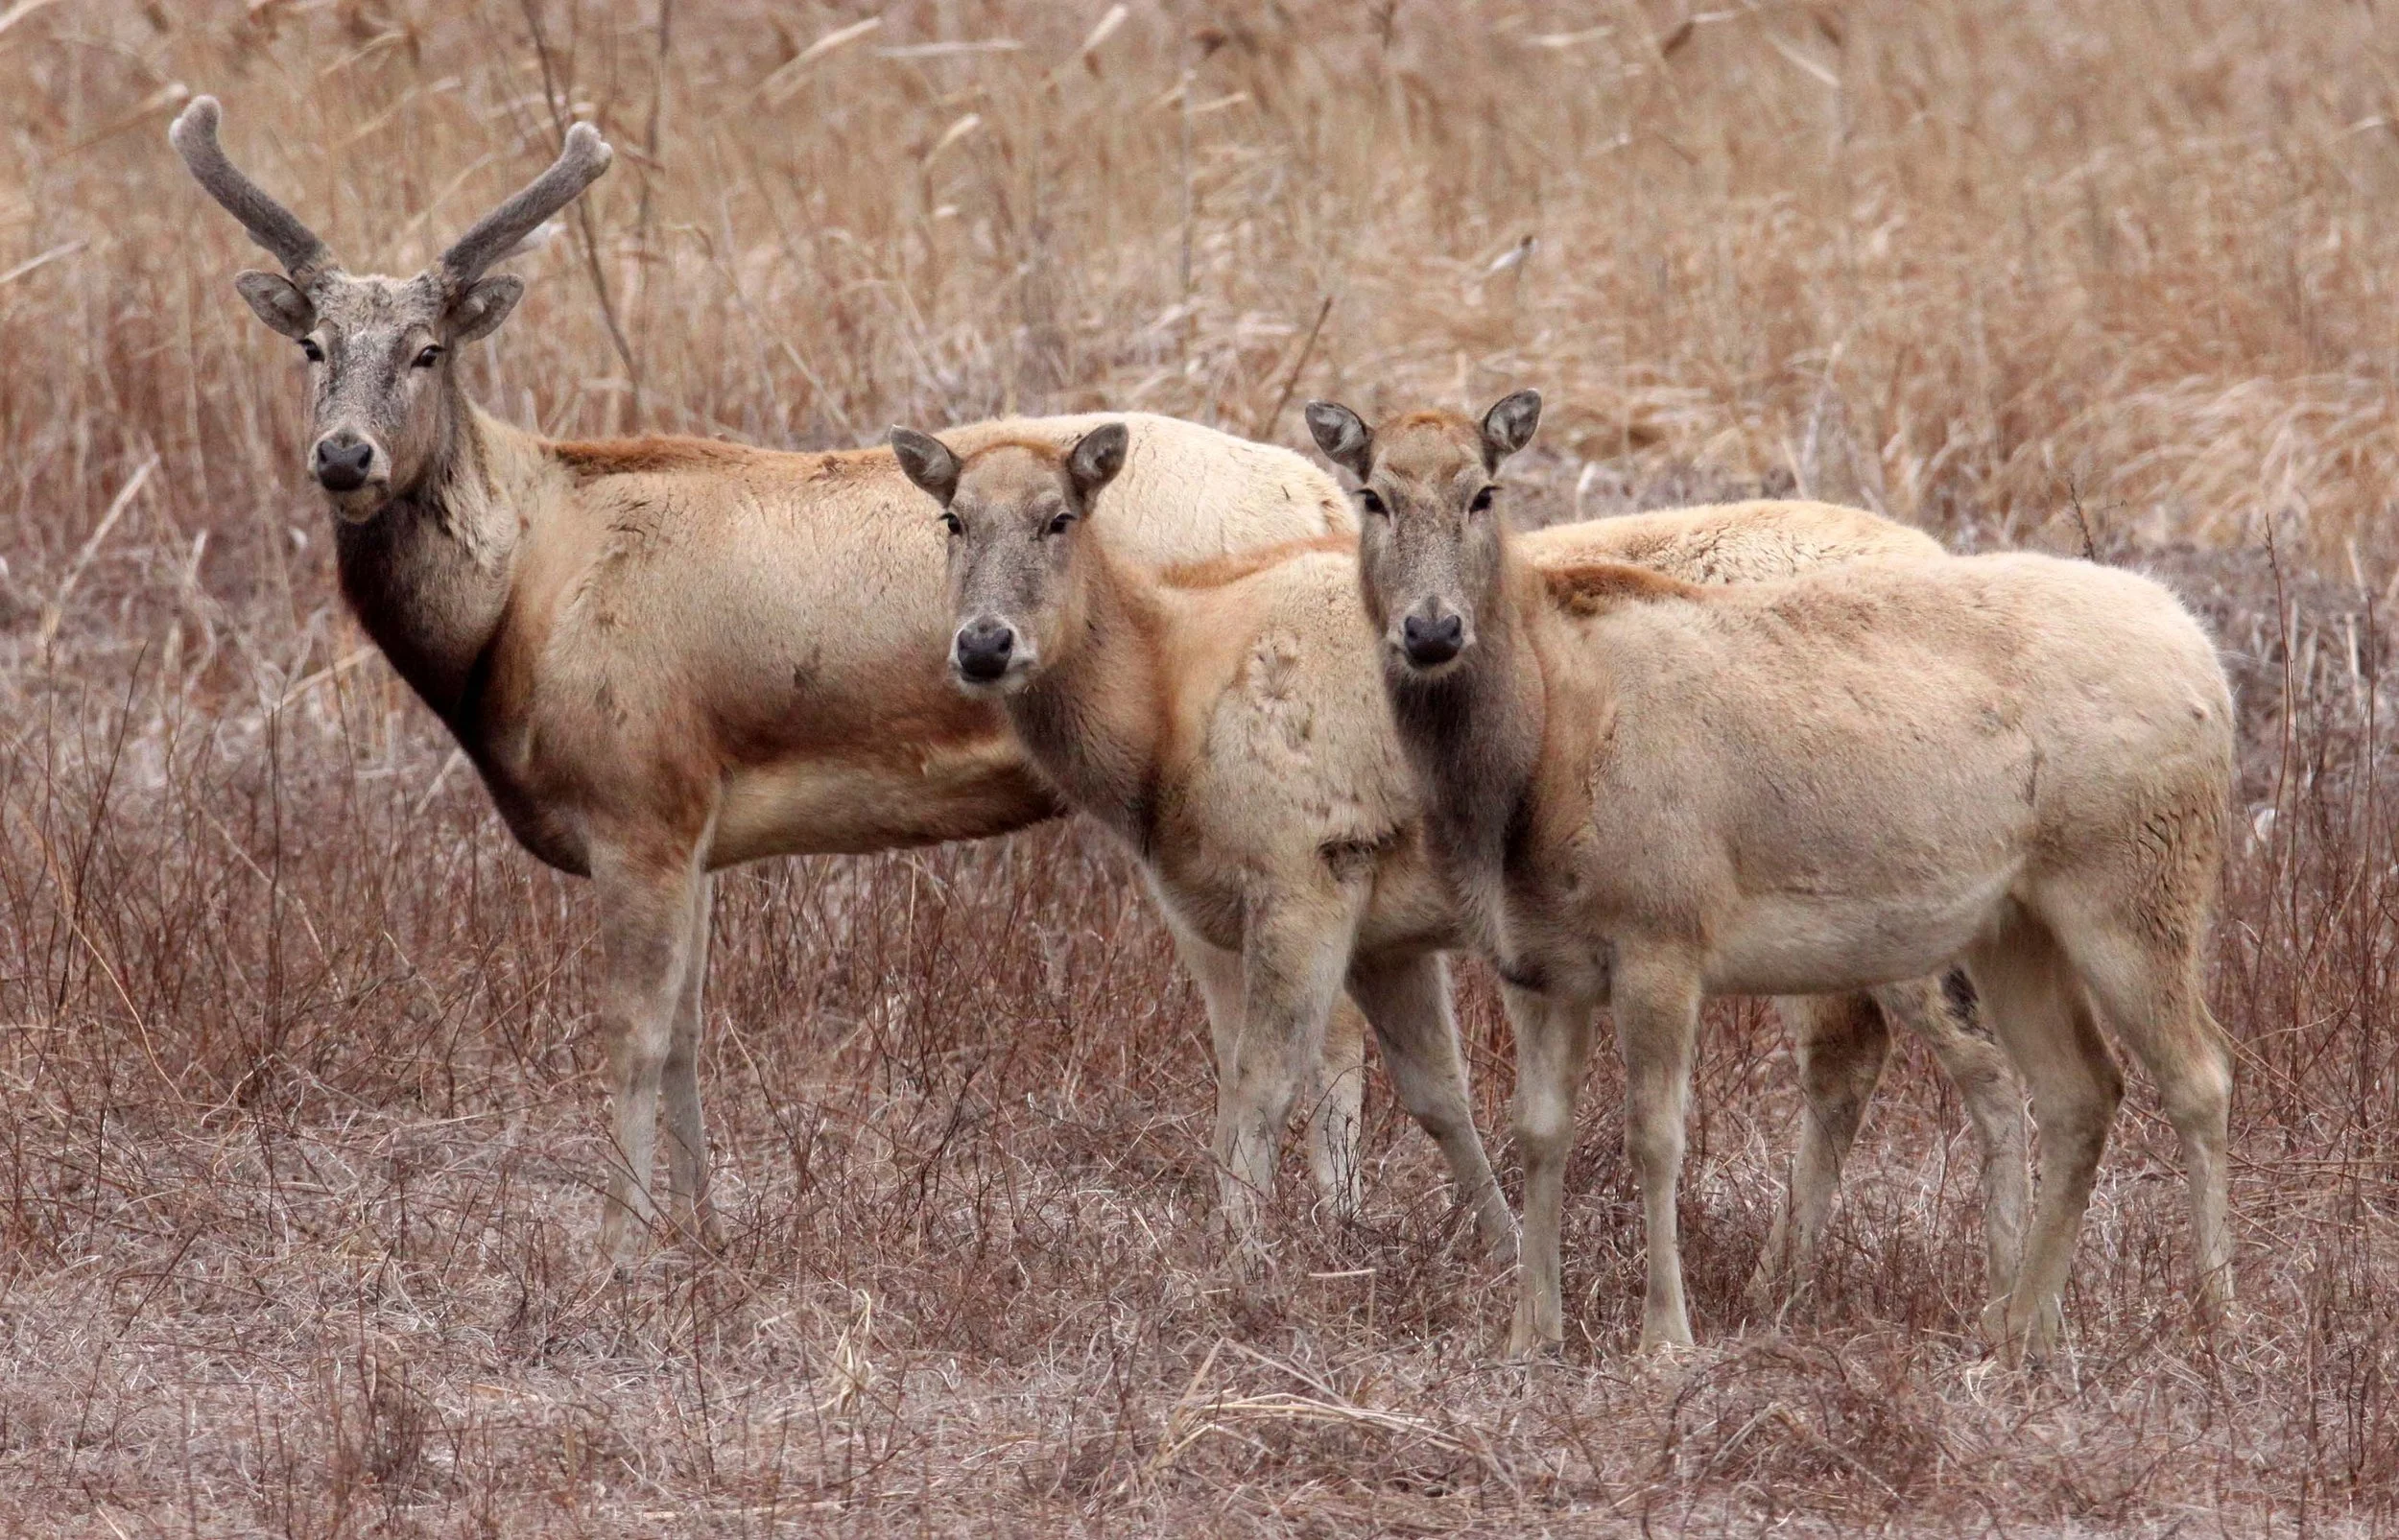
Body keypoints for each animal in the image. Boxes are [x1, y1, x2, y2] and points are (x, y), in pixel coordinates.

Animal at [168, 97, 1370, 1271]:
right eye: (313, 345)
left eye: (426, 352)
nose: (344, 456)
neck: (519, 599)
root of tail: (1323, 496)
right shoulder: (691, 819)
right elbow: (689, 1034)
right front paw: (698, 1230)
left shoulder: (636, 794)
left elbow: (634, 1034)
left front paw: (616, 1254)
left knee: (1325, 1019)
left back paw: (1331, 1225)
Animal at [889, 420, 2027, 1297]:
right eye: (951, 519)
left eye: (1060, 518)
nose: (983, 645)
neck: (1166, 708)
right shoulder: (1384, 930)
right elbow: (1439, 1095)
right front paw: (1502, 1249)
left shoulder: (1308, 863)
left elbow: (1261, 1081)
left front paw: (1237, 1265)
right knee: (1857, 1052)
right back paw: (1782, 1279)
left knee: (1972, 1061)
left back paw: (1999, 1293)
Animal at [1314, 389, 2235, 1363]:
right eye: (1373, 496)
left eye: (1484, 493)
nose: (1432, 629)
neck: (1533, 771)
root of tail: (2207, 661)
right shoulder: (1530, 963)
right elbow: (1536, 1131)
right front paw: (1531, 1332)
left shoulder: (1664, 931)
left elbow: (1655, 1136)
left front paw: (1667, 1339)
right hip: (2014, 925)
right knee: (2080, 1091)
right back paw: (2023, 1325)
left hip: (2137, 881)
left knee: (2200, 1073)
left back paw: (2216, 1313)